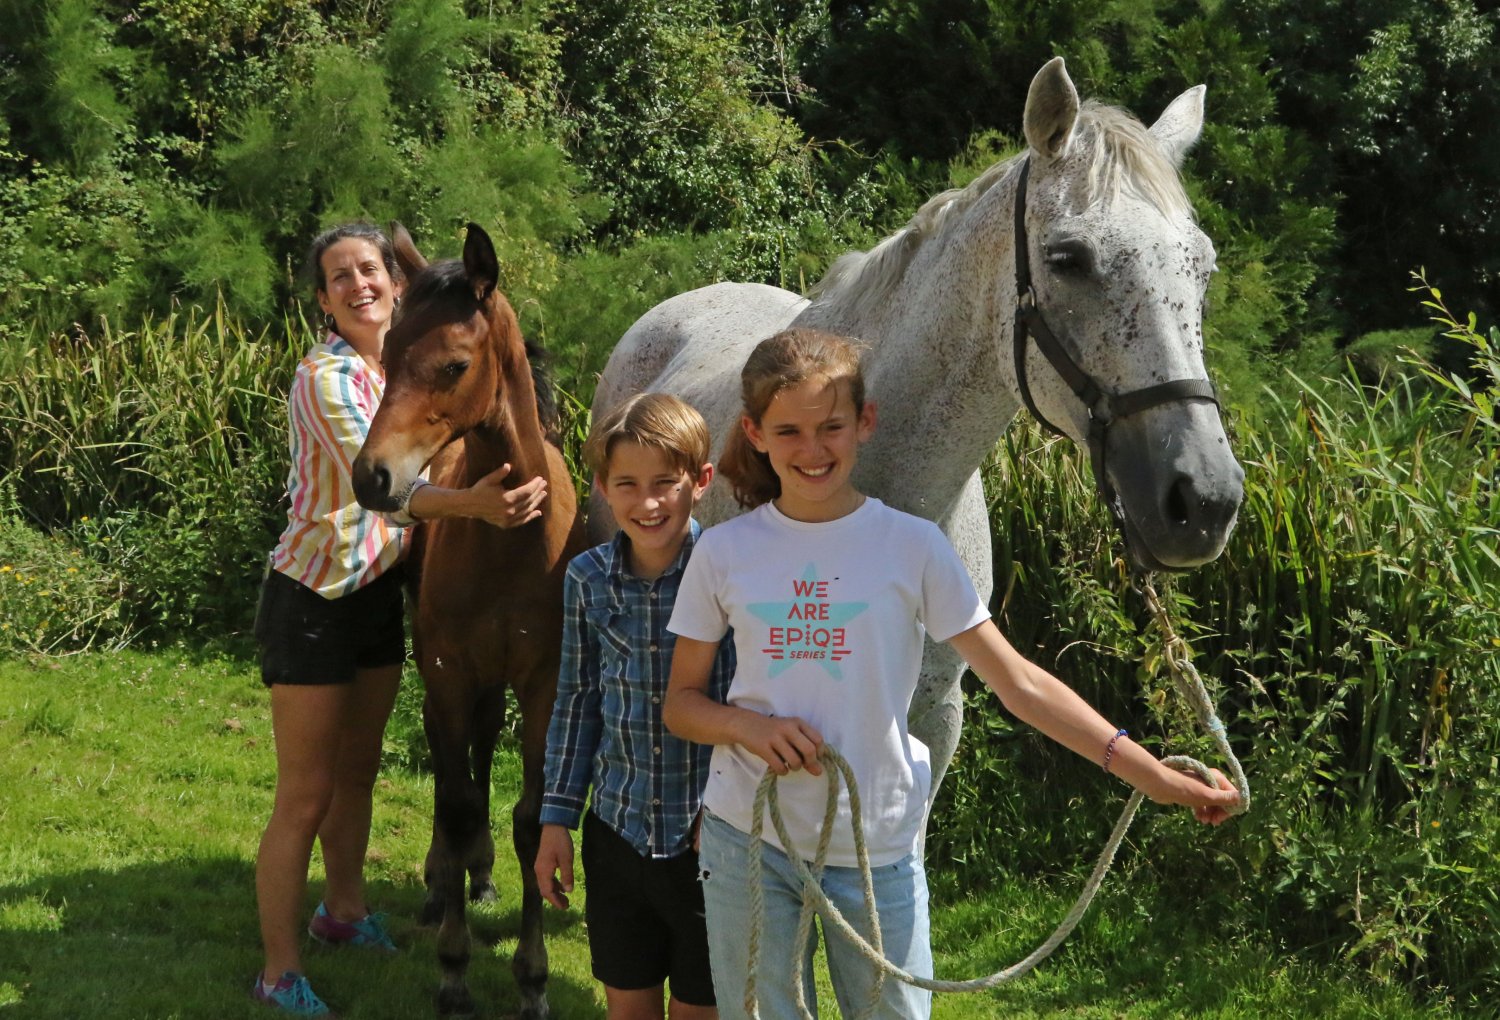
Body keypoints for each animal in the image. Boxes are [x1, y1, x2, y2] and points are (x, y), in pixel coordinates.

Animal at [353, 223, 582, 1019]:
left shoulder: (547, 684)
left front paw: (533, 979)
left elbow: (532, 819)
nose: (373, 477)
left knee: (483, 754)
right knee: (456, 771)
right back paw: (442, 882)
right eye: (387, 353)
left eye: (454, 364)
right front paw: (453, 970)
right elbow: (453, 802)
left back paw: (479, 876)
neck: (513, 542)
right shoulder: (450, 670)